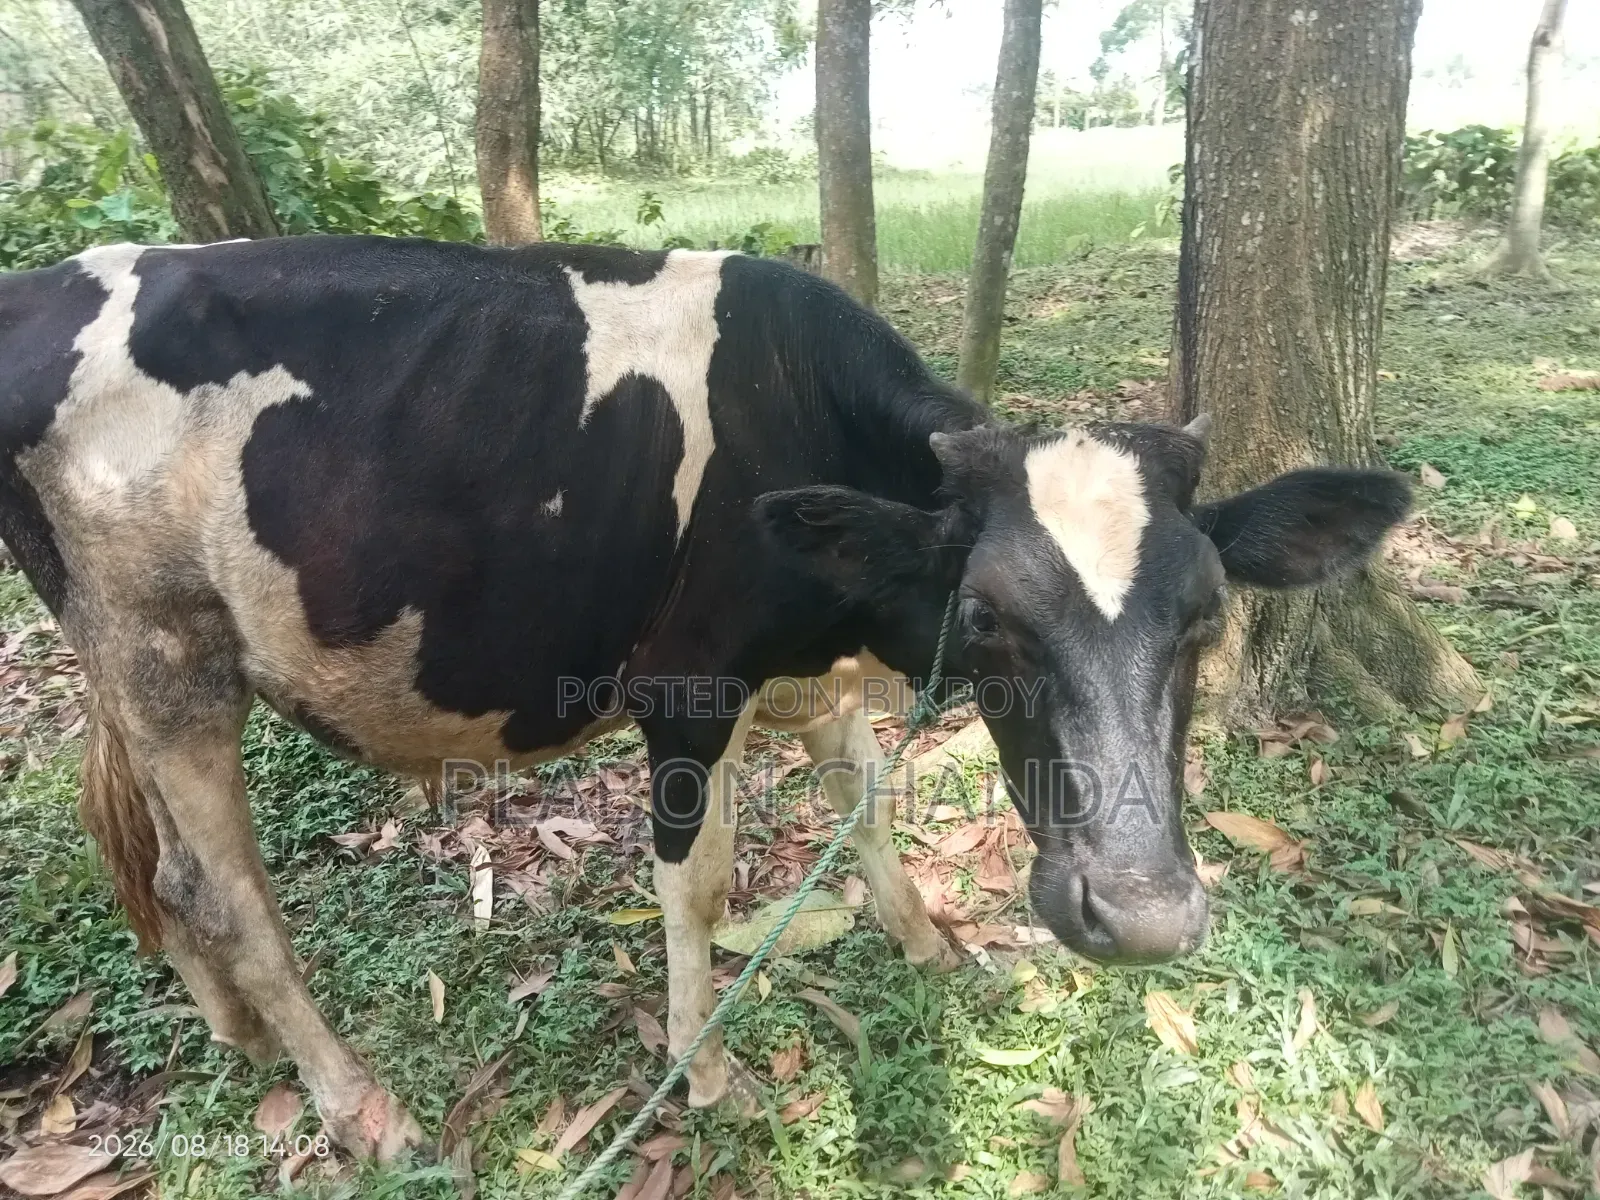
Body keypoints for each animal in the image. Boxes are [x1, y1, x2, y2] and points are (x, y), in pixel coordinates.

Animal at [0, 237, 1410, 1160]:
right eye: (987, 619)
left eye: (1206, 616)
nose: (1145, 912)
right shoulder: (685, 684)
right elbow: (702, 880)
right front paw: (703, 1065)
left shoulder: (808, 671)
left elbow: (863, 800)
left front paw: (924, 944)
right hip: (165, 653)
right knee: (224, 891)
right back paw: (359, 1108)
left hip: (130, 669)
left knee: (160, 872)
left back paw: (240, 1036)